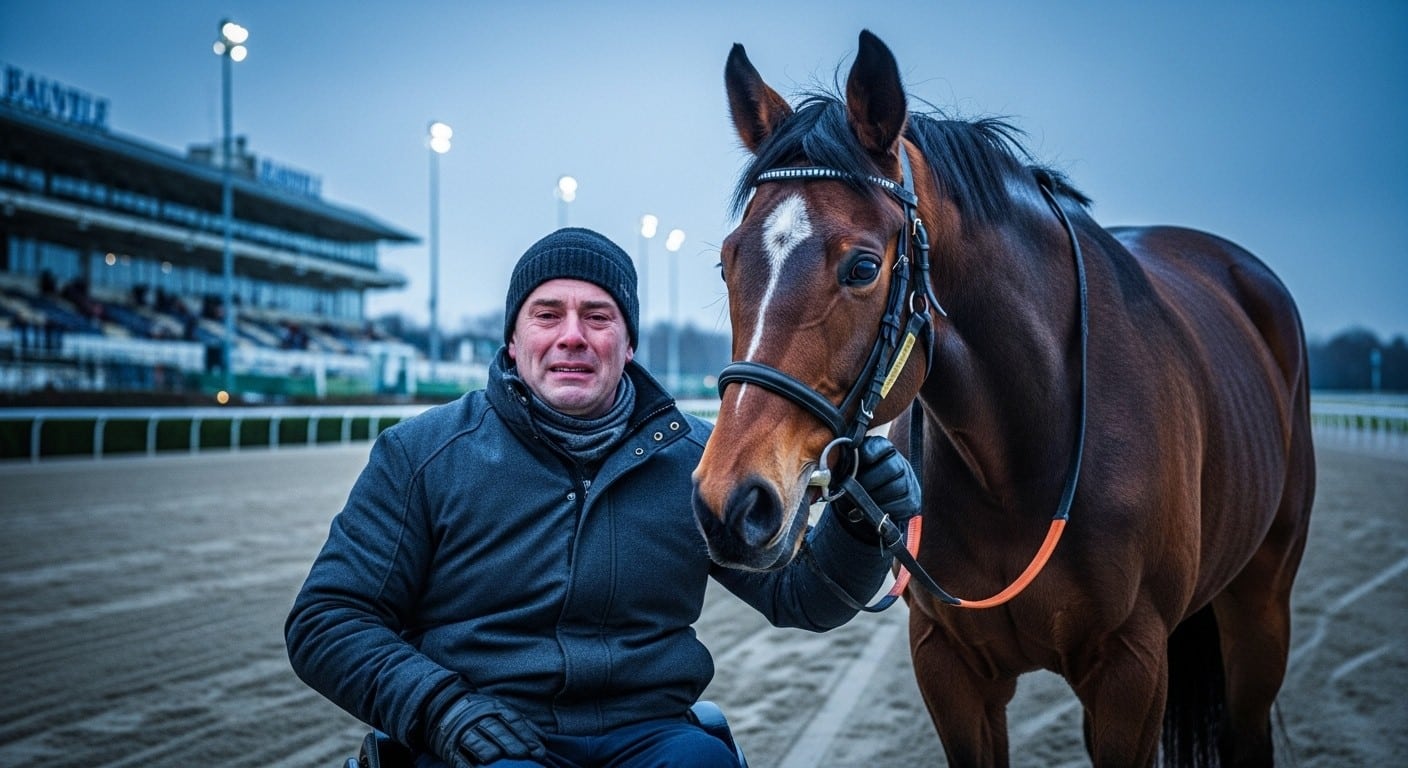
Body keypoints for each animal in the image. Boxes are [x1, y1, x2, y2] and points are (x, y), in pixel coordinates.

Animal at [691, 30, 1315, 767]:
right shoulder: (950, 665)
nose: (731, 503)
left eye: (863, 267)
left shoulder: (1132, 666)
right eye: (727, 262)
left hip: (1261, 604)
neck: (1019, 463)